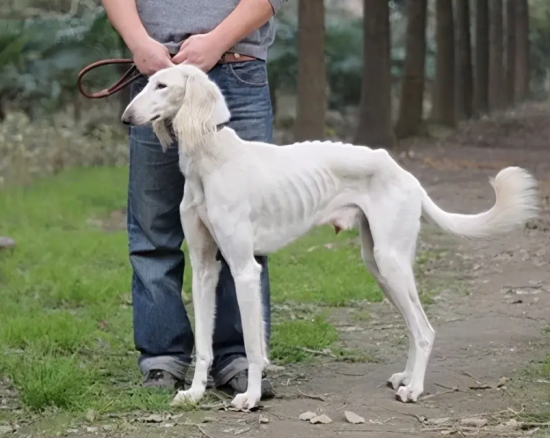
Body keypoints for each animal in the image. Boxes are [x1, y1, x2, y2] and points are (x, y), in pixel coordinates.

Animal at [121, 63, 539, 410]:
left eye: (162, 85)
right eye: (145, 81)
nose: (126, 118)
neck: (211, 158)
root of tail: (406, 174)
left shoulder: (244, 269)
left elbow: (253, 346)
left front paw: (251, 397)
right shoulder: (205, 268)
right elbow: (205, 344)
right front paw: (193, 393)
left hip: (390, 262)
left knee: (424, 330)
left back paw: (415, 389)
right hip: (380, 266)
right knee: (412, 326)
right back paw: (406, 377)